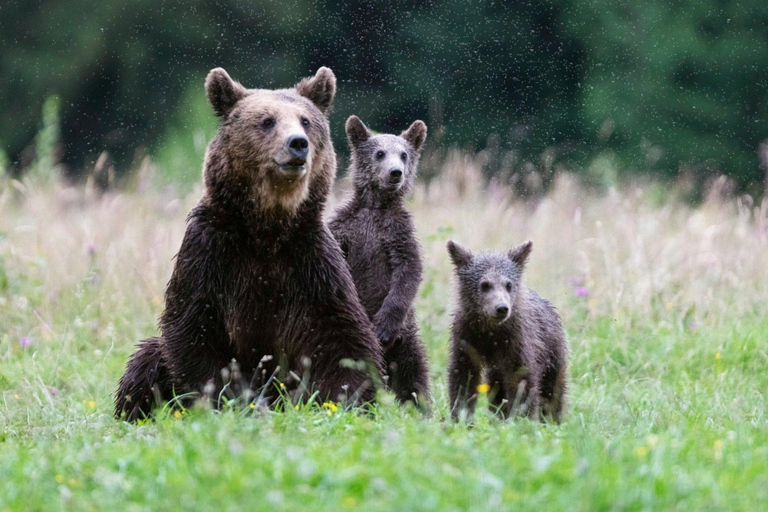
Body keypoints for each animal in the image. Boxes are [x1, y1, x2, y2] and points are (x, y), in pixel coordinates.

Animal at [114, 67, 385, 422]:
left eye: (306, 121)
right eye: (267, 120)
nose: (298, 144)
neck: (266, 229)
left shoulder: (310, 261)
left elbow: (343, 335)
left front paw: (347, 401)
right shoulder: (212, 253)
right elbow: (195, 329)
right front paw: (237, 403)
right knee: (146, 359)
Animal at [328, 116, 431, 411]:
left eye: (404, 154)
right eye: (380, 153)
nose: (395, 172)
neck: (376, 207)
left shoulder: (397, 234)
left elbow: (408, 272)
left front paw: (383, 325)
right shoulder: (346, 230)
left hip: (406, 335)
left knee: (414, 371)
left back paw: (421, 408)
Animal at [446, 240, 568, 423]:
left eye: (508, 284)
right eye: (485, 284)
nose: (501, 308)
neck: (490, 331)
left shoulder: (517, 342)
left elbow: (522, 382)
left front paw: (523, 418)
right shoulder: (466, 337)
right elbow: (463, 378)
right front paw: (461, 417)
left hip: (552, 351)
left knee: (552, 389)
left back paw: (552, 418)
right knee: (497, 390)